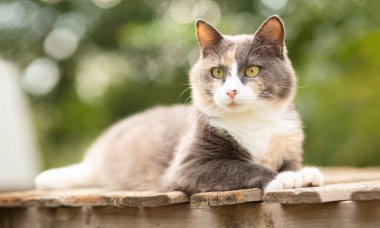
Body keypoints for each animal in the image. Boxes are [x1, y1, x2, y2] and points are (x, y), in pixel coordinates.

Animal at [34, 15, 322, 194]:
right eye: (217, 72)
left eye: (252, 70)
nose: (231, 91)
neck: (252, 122)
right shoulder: (188, 164)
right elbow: (240, 167)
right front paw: (286, 177)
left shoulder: (288, 141)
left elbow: (289, 162)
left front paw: (301, 172)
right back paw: (46, 178)